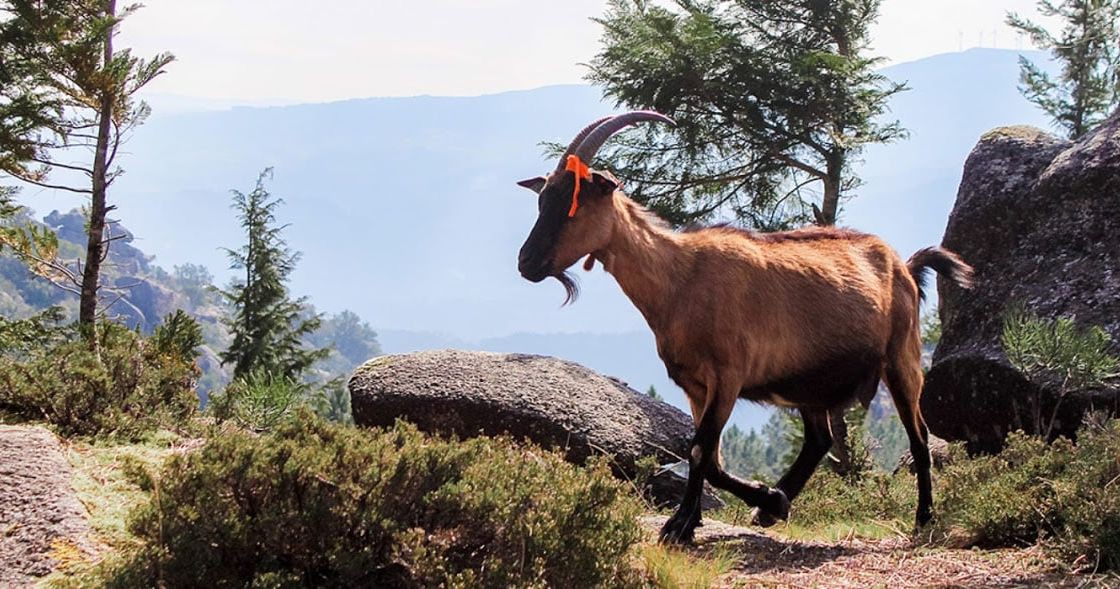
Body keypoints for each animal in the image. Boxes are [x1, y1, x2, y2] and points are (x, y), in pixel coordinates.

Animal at [515, 110, 972, 544]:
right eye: (542, 200)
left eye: (573, 202)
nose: (526, 263)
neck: (681, 279)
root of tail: (904, 266)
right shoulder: (695, 385)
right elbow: (710, 458)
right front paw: (751, 504)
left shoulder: (728, 375)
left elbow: (700, 451)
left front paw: (679, 525)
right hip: (809, 382)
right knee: (819, 439)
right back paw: (773, 506)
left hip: (901, 357)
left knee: (918, 436)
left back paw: (924, 519)